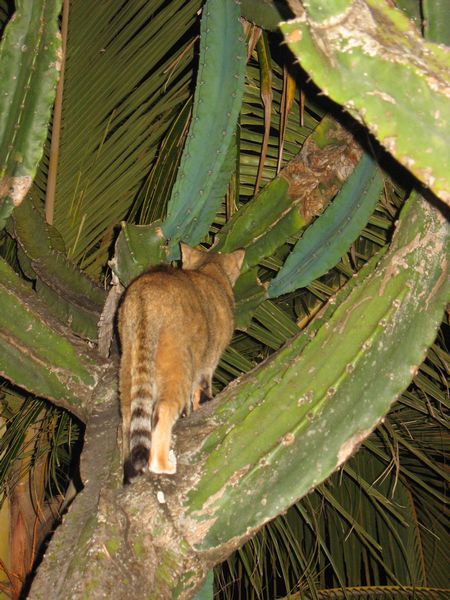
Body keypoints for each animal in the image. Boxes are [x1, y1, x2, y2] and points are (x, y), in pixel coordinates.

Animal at [118, 243, 244, 483]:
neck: (209, 269)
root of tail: (145, 293)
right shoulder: (207, 365)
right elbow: (201, 393)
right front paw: (199, 406)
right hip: (178, 364)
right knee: (163, 412)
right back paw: (162, 465)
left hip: (128, 362)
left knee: (130, 418)